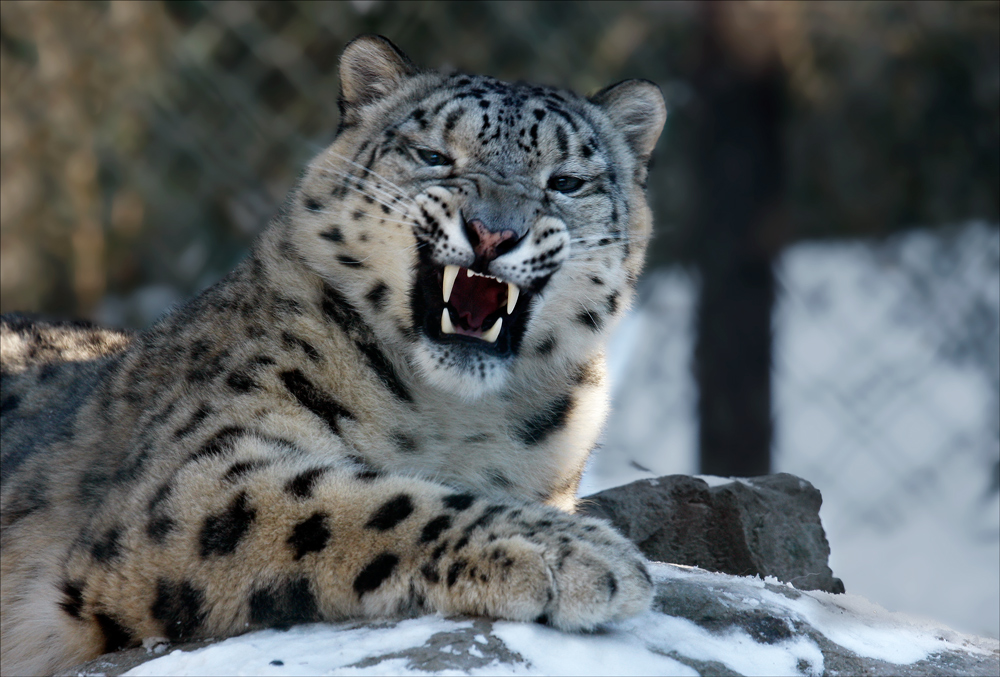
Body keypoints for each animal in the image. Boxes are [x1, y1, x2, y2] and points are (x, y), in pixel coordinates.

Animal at [3, 34, 668, 672]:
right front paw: (576, 552)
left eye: (566, 182)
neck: (459, 417)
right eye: (433, 156)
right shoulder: (192, 477)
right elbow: (369, 503)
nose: (493, 232)